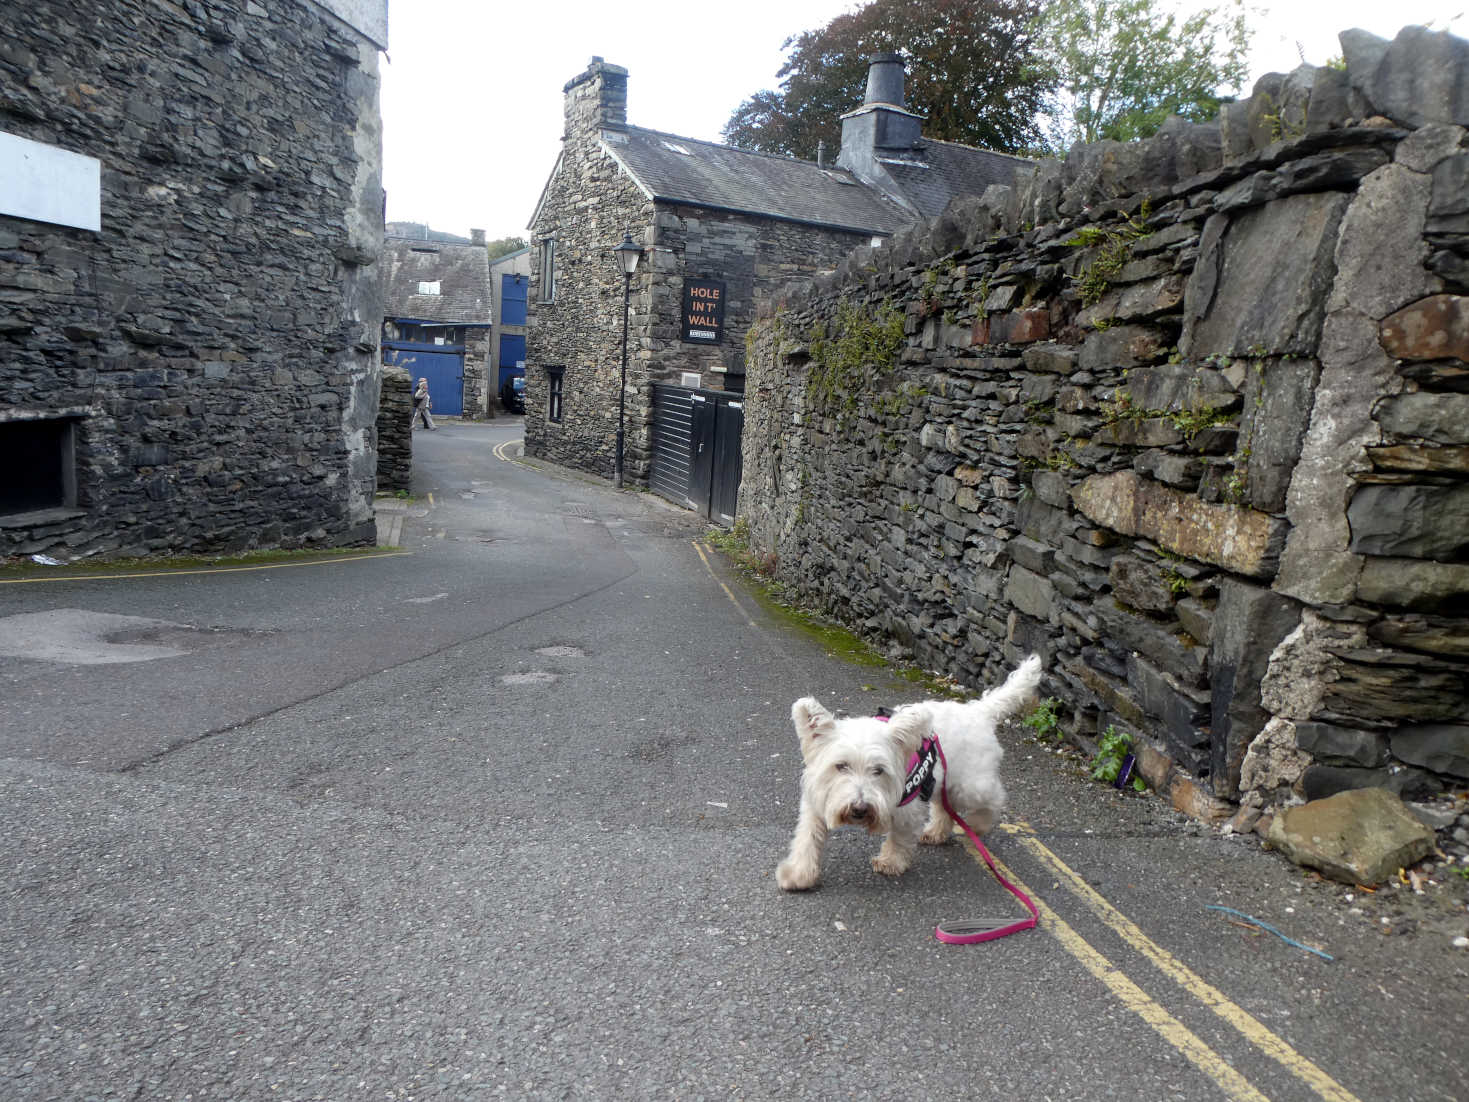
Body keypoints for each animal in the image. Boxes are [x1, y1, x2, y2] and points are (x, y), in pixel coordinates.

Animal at [781, 661, 1045, 893]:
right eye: (841, 766)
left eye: (879, 770)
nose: (859, 809)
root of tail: (978, 710)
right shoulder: (817, 801)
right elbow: (807, 838)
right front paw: (798, 874)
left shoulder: (907, 807)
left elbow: (899, 836)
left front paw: (890, 862)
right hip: (943, 782)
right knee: (945, 808)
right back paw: (936, 832)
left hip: (971, 785)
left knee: (994, 798)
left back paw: (978, 824)